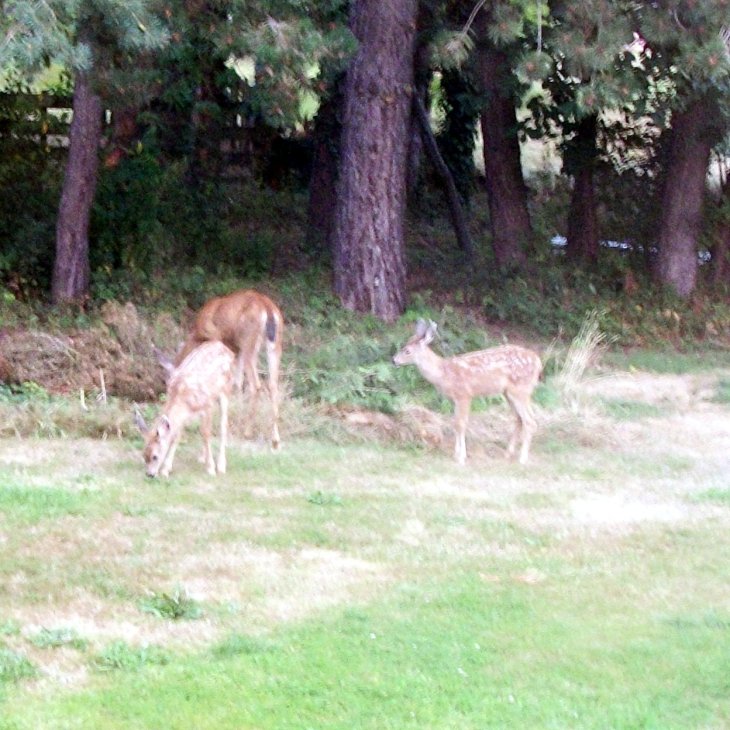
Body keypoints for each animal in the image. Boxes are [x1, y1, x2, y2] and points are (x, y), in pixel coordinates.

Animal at [136, 341, 235, 478]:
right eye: (144, 455)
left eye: (155, 456)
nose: (150, 474)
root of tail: (224, 347)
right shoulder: (183, 416)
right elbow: (176, 436)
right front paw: (166, 469)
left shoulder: (207, 405)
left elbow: (206, 433)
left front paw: (211, 468)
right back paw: (202, 457)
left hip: (226, 391)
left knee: (222, 425)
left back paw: (221, 465)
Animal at [165, 289, 284, 450]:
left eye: (169, 383)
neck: (197, 335)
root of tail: (267, 307)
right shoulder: (236, 349)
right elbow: (238, 383)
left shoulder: (217, 340)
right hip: (275, 343)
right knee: (273, 384)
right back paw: (275, 440)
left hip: (249, 342)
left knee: (256, 385)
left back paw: (247, 432)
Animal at [393, 319, 542, 465]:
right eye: (404, 345)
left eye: (407, 351)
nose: (394, 360)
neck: (443, 374)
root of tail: (538, 362)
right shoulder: (454, 399)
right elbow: (455, 423)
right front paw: (456, 454)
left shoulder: (464, 394)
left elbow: (460, 423)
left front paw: (461, 457)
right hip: (508, 393)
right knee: (519, 419)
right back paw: (508, 453)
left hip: (520, 390)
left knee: (530, 421)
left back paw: (522, 459)